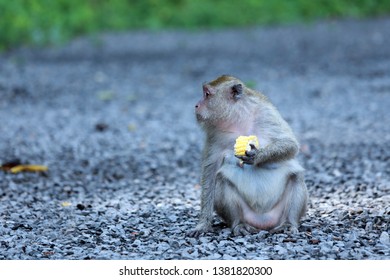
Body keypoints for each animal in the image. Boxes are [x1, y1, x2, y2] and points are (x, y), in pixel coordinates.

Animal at [190, 75, 310, 236]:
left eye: (207, 94)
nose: (196, 105)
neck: (238, 119)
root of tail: (263, 223)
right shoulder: (213, 132)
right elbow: (210, 170)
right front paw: (203, 224)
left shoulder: (266, 113)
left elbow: (290, 144)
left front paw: (258, 156)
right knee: (221, 180)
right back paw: (239, 224)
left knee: (296, 177)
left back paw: (288, 223)